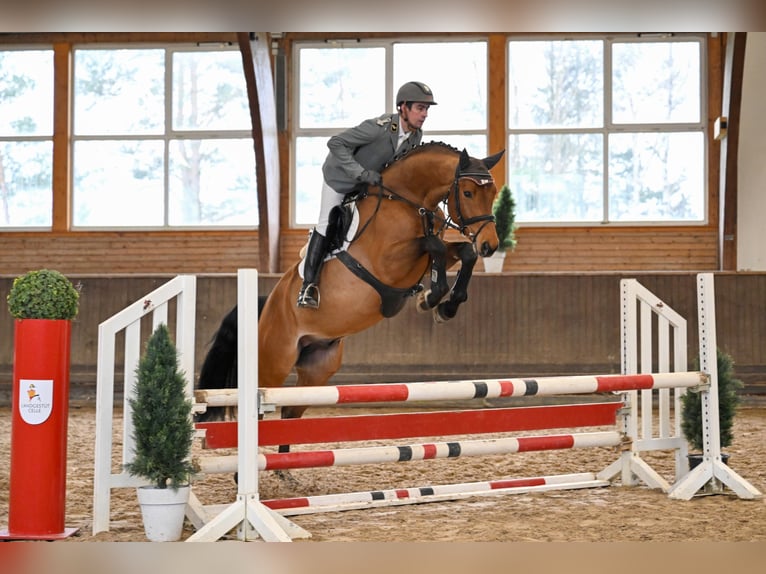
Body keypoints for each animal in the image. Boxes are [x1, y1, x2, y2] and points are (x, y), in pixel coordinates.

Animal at [200, 142, 504, 448]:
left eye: (493, 193)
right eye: (467, 193)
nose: (490, 245)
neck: (409, 201)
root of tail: (266, 307)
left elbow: (462, 252)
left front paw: (445, 306)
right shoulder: (388, 262)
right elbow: (434, 245)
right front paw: (432, 298)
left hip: (318, 368)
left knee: (290, 412)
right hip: (273, 364)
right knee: (260, 408)